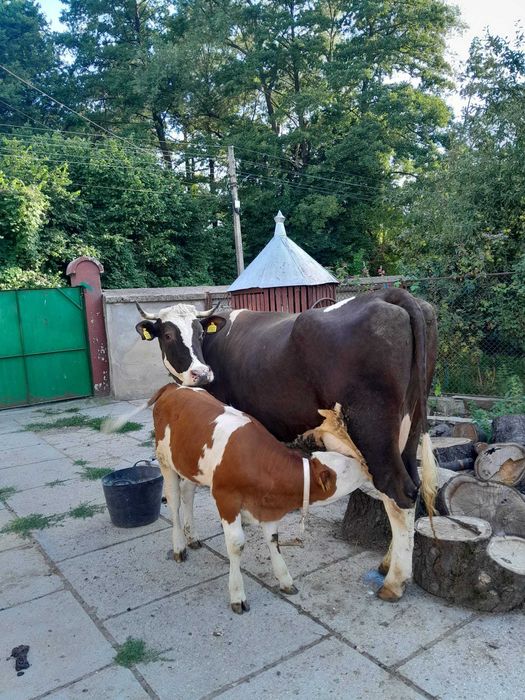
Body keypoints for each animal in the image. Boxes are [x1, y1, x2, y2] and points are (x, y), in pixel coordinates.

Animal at [148, 383, 396, 613]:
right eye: (348, 468)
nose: (370, 471)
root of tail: (174, 387)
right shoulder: (225, 498)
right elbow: (236, 545)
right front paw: (237, 595)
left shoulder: (267, 505)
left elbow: (274, 540)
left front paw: (285, 581)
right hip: (165, 461)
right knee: (174, 501)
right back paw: (180, 546)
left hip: (191, 465)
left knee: (188, 492)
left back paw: (193, 537)